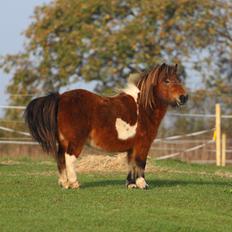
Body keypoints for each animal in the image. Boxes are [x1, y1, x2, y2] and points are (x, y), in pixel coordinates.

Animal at [25, 63, 188, 188]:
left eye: (178, 79)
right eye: (166, 81)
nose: (184, 97)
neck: (143, 107)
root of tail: (60, 97)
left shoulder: (132, 146)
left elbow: (131, 163)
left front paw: (131, 184)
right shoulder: (143, 144)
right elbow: (140, 162)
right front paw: (142, 184)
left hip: (63, 141)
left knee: (60, 159)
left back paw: (64, 183)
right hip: (75, 141)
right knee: (69, 158)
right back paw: (74, 183)